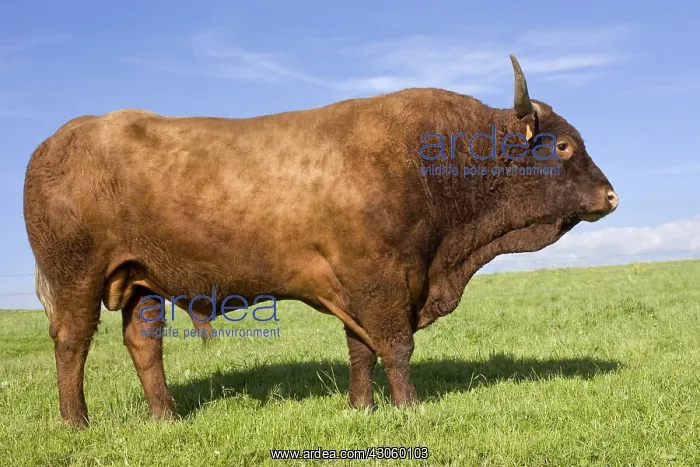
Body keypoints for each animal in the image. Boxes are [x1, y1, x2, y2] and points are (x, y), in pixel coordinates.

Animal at [23, 55, 618, 427]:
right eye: (563, 146)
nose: (611, 196)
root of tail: (57, 140)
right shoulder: (380, 278)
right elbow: (396, 346)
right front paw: (409, 410)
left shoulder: (360, 284)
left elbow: (362, 348)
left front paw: (362, 408)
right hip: (76, 277)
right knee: (71, 343)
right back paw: (76, 424)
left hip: (141, 280)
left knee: (144, 345)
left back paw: (166, 419)